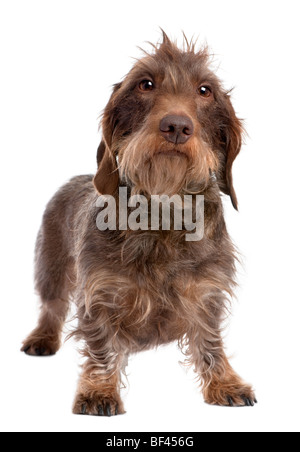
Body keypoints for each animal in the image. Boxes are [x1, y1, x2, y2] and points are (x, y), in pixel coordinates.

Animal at [21, 32, 255, 416]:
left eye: (205, 90)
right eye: (145, 84)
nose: (177, 126)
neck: (162, 211)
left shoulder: (206, 291)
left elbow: (209, 340)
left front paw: (225, 382)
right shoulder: (98, 292)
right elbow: (101, 344)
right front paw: (98, 390)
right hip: (50, 266)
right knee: (51, 306)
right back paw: (42, 337)